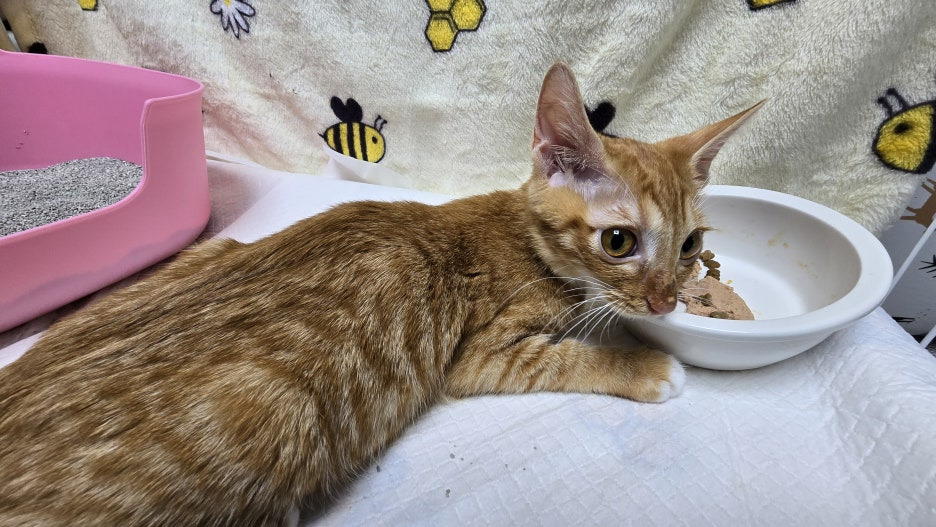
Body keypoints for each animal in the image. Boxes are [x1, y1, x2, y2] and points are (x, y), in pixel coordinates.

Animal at [0, 63, 762, 526]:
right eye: (619, 242)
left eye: (690, 244)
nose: (665, 303)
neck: (526, 241)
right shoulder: (481, 354)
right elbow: (570, 355)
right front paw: (645, 363)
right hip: (276, 415)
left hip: (213, 249)